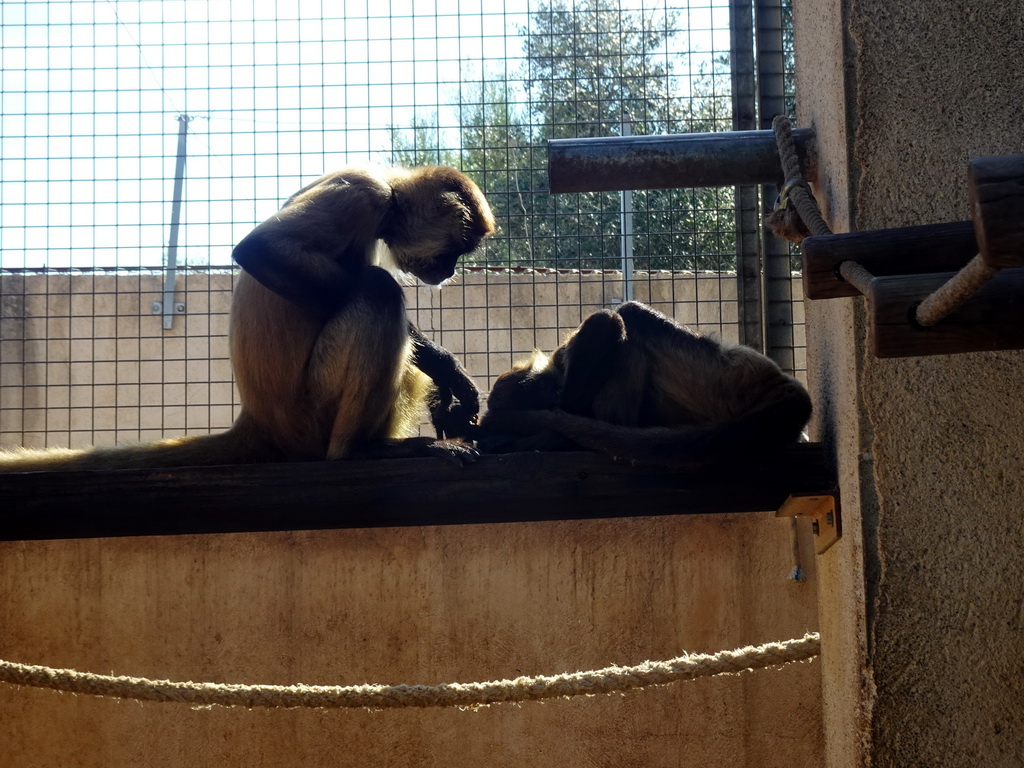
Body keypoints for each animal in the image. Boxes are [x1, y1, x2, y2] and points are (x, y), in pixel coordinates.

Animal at [0, 165, 495, 473]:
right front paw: (445, 367)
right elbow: (259, 250)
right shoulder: (363, 192)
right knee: (378, 289)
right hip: (311, 408)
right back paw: (359, 452)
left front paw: (447, 383)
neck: (389, 184)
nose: (449, 271)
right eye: (453, 252)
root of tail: (257, 419)